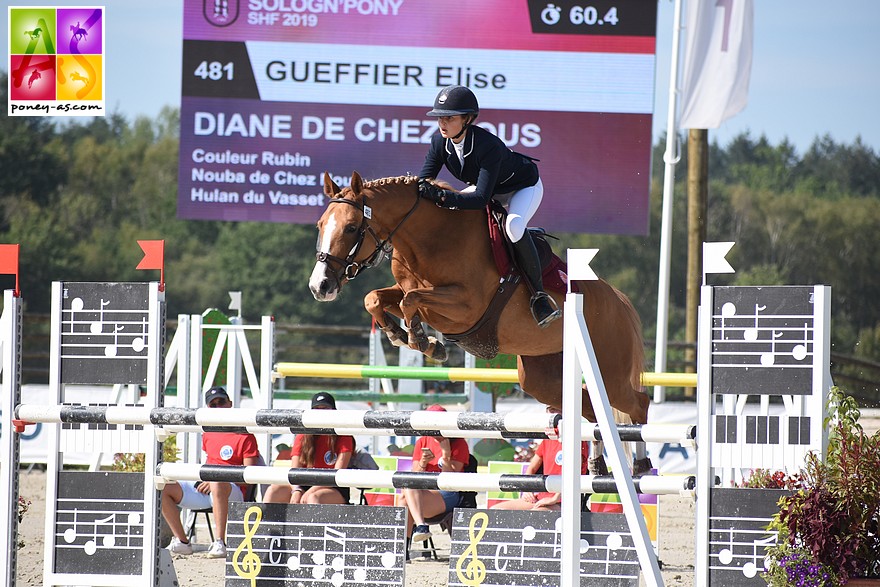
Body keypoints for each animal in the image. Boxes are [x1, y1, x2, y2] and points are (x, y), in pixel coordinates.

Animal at [310, 173, 652, 474]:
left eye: (352, 227)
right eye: (320, 225)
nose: (320, 286)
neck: (430, 240)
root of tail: (619, 301)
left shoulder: (465, 308)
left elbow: (411, 302)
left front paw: (423, 341)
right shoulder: (410, 291)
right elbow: (376, 299)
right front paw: (402, 335)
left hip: (609, 371)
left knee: (637, 403)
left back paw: (640, 464)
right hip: (541, 378)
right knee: (593, 407)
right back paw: (597, 464)